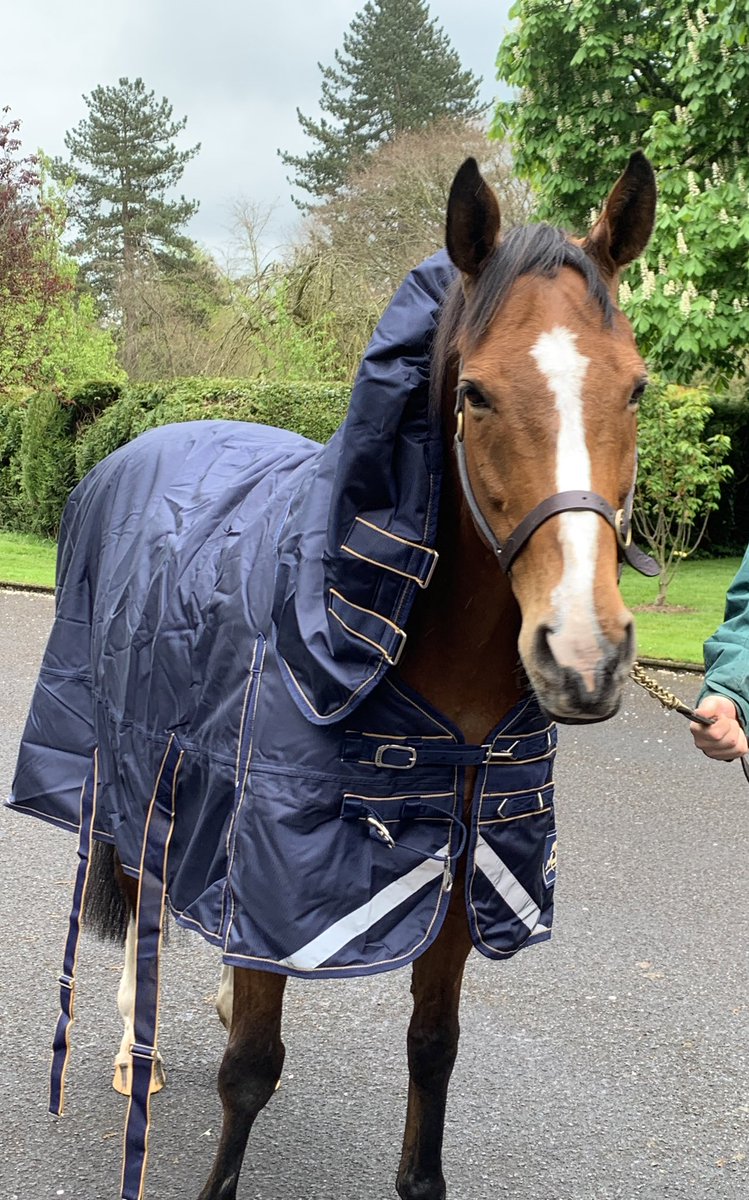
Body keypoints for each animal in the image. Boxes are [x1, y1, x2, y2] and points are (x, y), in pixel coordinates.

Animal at [11, 154, 652, 1195]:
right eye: (475, 393)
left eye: (635, 388)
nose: (584, 656)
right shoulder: (269, 847)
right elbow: (250, 1071)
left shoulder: (459, 870)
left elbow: (433, 1048)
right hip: (133, 770)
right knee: (147, 899)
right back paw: (133, 1051)